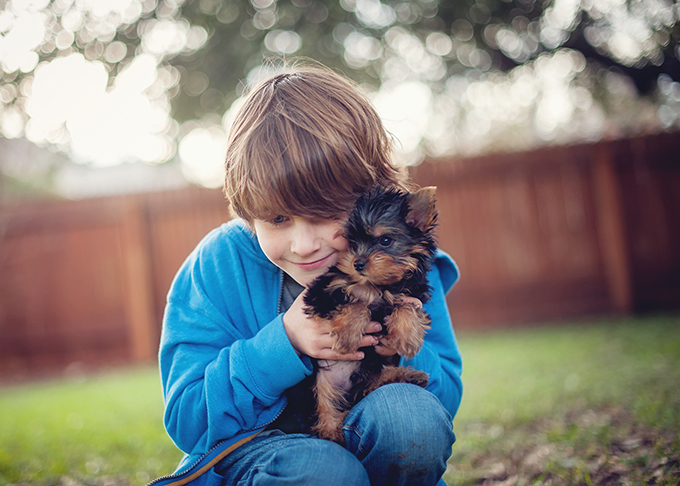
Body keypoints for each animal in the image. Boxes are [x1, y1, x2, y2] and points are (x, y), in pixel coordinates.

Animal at [304, 184, 440, 442]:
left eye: (385, 240)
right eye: (352, 242)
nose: (357, 263)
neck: (378, 285)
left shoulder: (413, 294)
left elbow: (407, 306)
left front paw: (406, 336)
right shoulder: (322, 293)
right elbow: (357, 303)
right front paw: (348, 335)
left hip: (370, 367)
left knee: (371, 383)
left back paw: (406, 375)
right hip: (318, 382)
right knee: (324, 403)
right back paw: (332, 429)